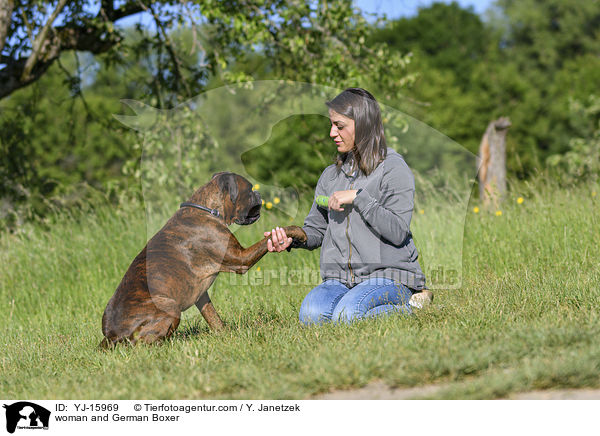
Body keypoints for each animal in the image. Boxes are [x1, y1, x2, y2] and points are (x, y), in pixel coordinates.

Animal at [101, 173, 308, 348]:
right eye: (249, 189)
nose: (257, 193)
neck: (209, 210)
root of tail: (113, 335)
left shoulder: (201, 295)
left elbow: (212, 316)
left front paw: (224, 335)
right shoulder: (241, 258)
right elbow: (269, 239)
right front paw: (298, 231)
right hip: (169, 306)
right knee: (144, 343)